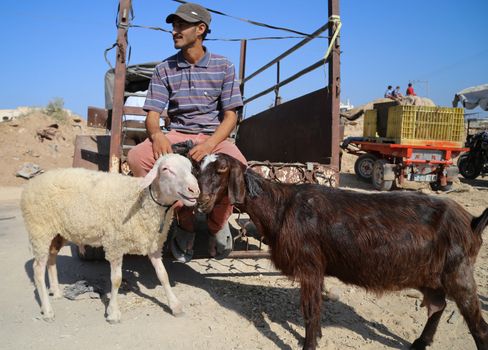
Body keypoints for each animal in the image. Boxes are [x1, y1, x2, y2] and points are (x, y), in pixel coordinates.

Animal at [20, 154, 200, 324]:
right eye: (165, 169)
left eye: (191, 168)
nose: (194, 190)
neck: (142, 201)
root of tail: (33, 182)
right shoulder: (115, 244)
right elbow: (116, 280)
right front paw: (113, 313)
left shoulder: (153, 244)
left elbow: (163, 275)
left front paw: (175, 306)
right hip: (39, 230)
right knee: (37, 270)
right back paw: (48, 310)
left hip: (58, 232)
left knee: (51, 258)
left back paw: (56, 292)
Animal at [196, 154, 486, 350]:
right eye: (198, 170)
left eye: (221, 170)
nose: (200, 201)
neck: (281, 207)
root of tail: (472, 222)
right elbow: (315, 310)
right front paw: (317, 337)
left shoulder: (310, 266)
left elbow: (310, 311)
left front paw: (309, 344)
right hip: (430, 274)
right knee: (438, 305)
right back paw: (420, 341)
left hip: (459, 273)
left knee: (478, 326)